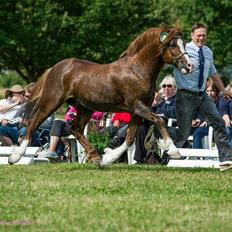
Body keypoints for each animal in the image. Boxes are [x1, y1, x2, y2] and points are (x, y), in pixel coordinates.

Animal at [8, 26, 192, 165]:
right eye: (173, 44)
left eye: (183, 43)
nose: (189, 66)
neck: (137, 70)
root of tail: (55, 68)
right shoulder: (138, 106)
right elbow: (159, 120)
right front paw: (174, 151)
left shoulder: (137, 110)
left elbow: (130, 138)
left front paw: (108, 158)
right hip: (52, 102)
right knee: (33, 124)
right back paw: (14, 157)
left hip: (84, 108)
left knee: (75, 129)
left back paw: (95, 156)